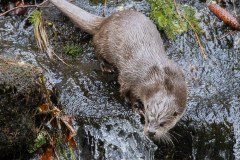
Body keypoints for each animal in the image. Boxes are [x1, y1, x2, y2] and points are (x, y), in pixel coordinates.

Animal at [49, 0, 188, 140]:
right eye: (148, 118)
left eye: (162, 124)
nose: (151, 132)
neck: (161, 79)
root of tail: (106, 20)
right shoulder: (131, 79)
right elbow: (126, 92)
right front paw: (137, 107)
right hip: (104, 43)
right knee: (97, 49)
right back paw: (106, 66)